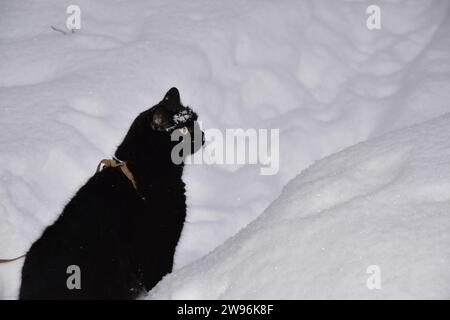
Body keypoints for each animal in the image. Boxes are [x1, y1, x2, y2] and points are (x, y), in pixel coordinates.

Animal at [19, 88, 205, 300]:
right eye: (183, 129)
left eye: (195, 120)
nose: (203, 135)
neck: (141, 172)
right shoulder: (157, 248)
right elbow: (158, 279)